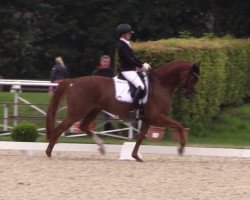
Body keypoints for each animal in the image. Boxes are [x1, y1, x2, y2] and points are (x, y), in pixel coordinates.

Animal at [46, 60, 200, 162]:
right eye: (193, 77)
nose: (189, 95)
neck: (161, 84)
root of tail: (73, 81)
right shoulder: (157, 116)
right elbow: (179, 125)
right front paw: (181, 148)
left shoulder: (148, 119)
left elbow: (140, 137)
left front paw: (136, 156)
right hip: (77, 112)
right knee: (61, 128)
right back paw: (49, 152)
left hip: (93, 110)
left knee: (84, 126)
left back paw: (101, 147)